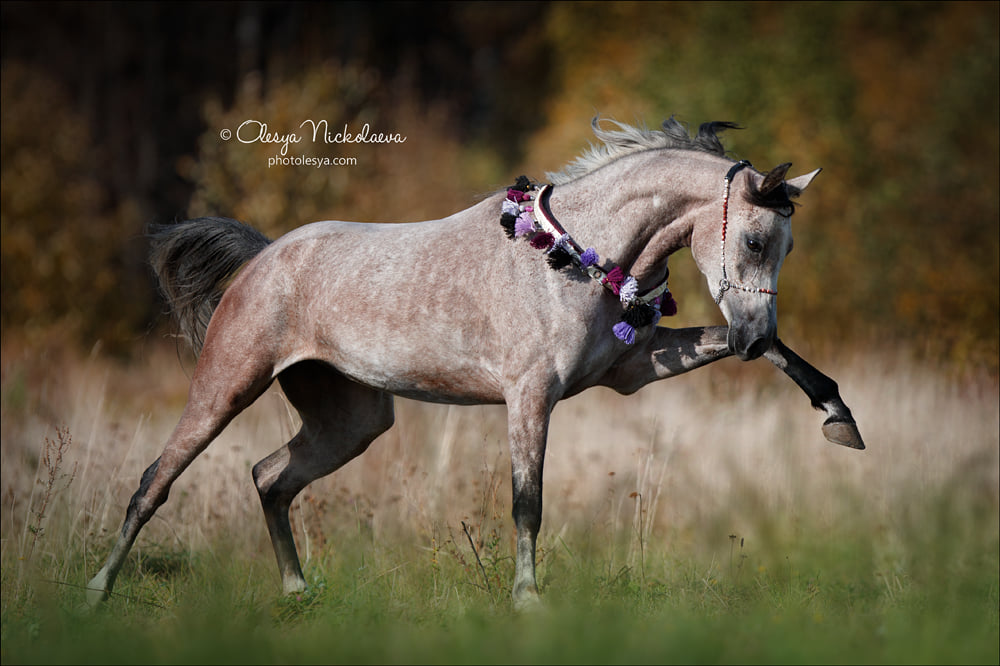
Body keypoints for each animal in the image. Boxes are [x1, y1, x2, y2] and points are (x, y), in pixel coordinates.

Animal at [86, 115, 864, 608]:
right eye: (757, 241)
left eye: (785, 245)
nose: (752, 333)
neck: (573, 259)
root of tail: (263, 258)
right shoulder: (531, 396)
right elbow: (528, 503)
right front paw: (526, 600)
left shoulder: (632, 370)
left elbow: (784, 360)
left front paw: (838, 417)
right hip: (227, 385)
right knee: (155, 482)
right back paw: (96, 594)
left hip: (351, 420)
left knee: (269, 477)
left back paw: (296, 594)